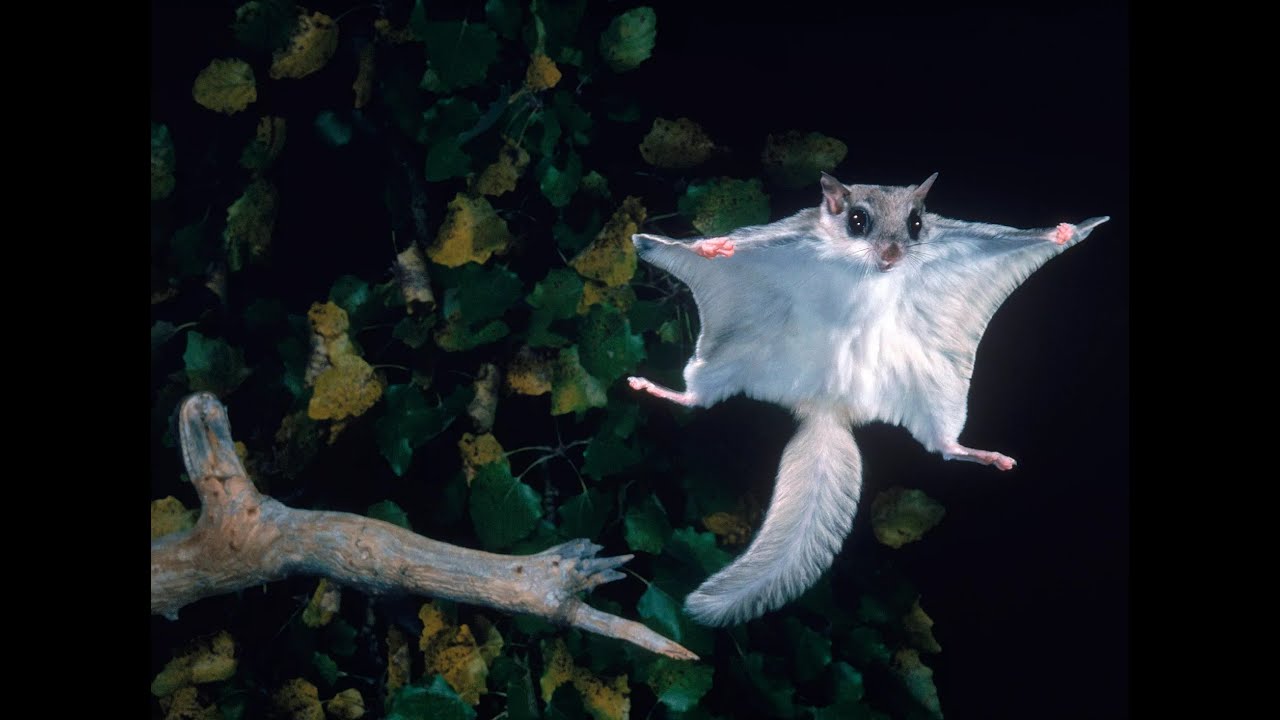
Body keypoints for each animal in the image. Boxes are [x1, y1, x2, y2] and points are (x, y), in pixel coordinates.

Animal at [629, 172, 1108, 626]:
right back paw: (656, 389)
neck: (860, 269)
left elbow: (1008, 236)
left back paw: (983, 455)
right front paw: (710, 248)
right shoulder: (787, 234)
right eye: (858, 220)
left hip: (933, 385)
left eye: (916, 224)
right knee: (698, 399)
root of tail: (828, 407)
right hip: (730, 356)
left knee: (944, 445)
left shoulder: (953, 238)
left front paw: (1063, 232)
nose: (893, 255)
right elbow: (731, 240)